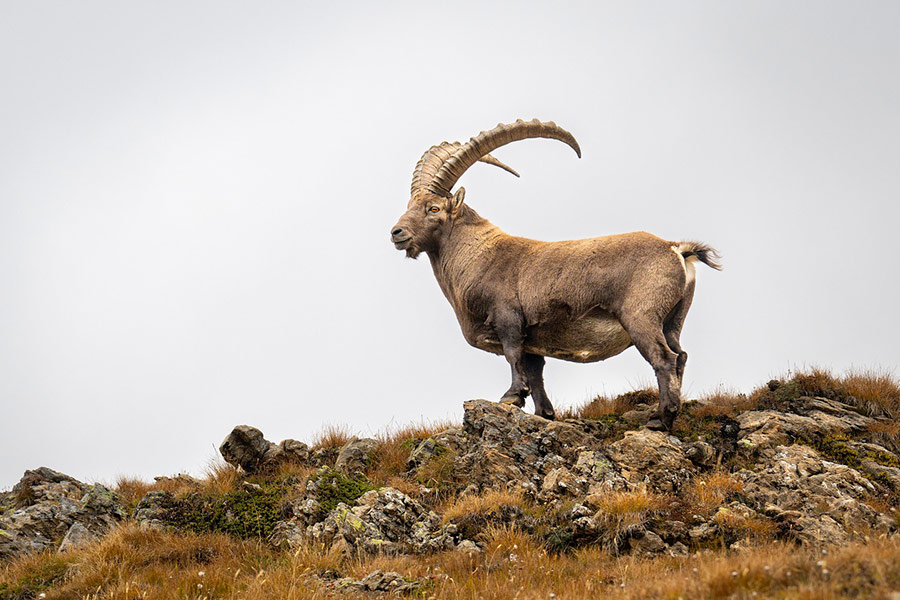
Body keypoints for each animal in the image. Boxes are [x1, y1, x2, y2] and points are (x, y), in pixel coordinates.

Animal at [390, 119, 720, 430]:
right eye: (410, 206)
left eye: (433, 208)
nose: (397, 232)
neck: (478, 255)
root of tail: (676, 249)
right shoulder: (533, 340)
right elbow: (536, 373)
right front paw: (544, 414)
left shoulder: (508, 318)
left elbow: (513, 356)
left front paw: (511, 396)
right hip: (673, 320)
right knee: (680, 355)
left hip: (641, 316)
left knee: (664, 359)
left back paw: (660, 419)